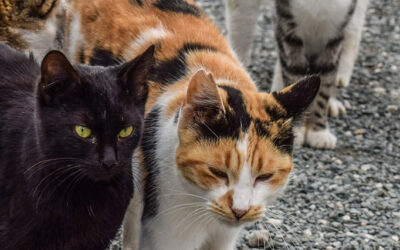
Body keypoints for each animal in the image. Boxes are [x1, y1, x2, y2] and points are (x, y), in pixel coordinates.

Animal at [225, 0, 368, 148]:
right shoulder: (287, 26)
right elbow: (294, 74)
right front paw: (296, 130)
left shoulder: (335, 32)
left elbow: (325, 83)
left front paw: (319, 132)